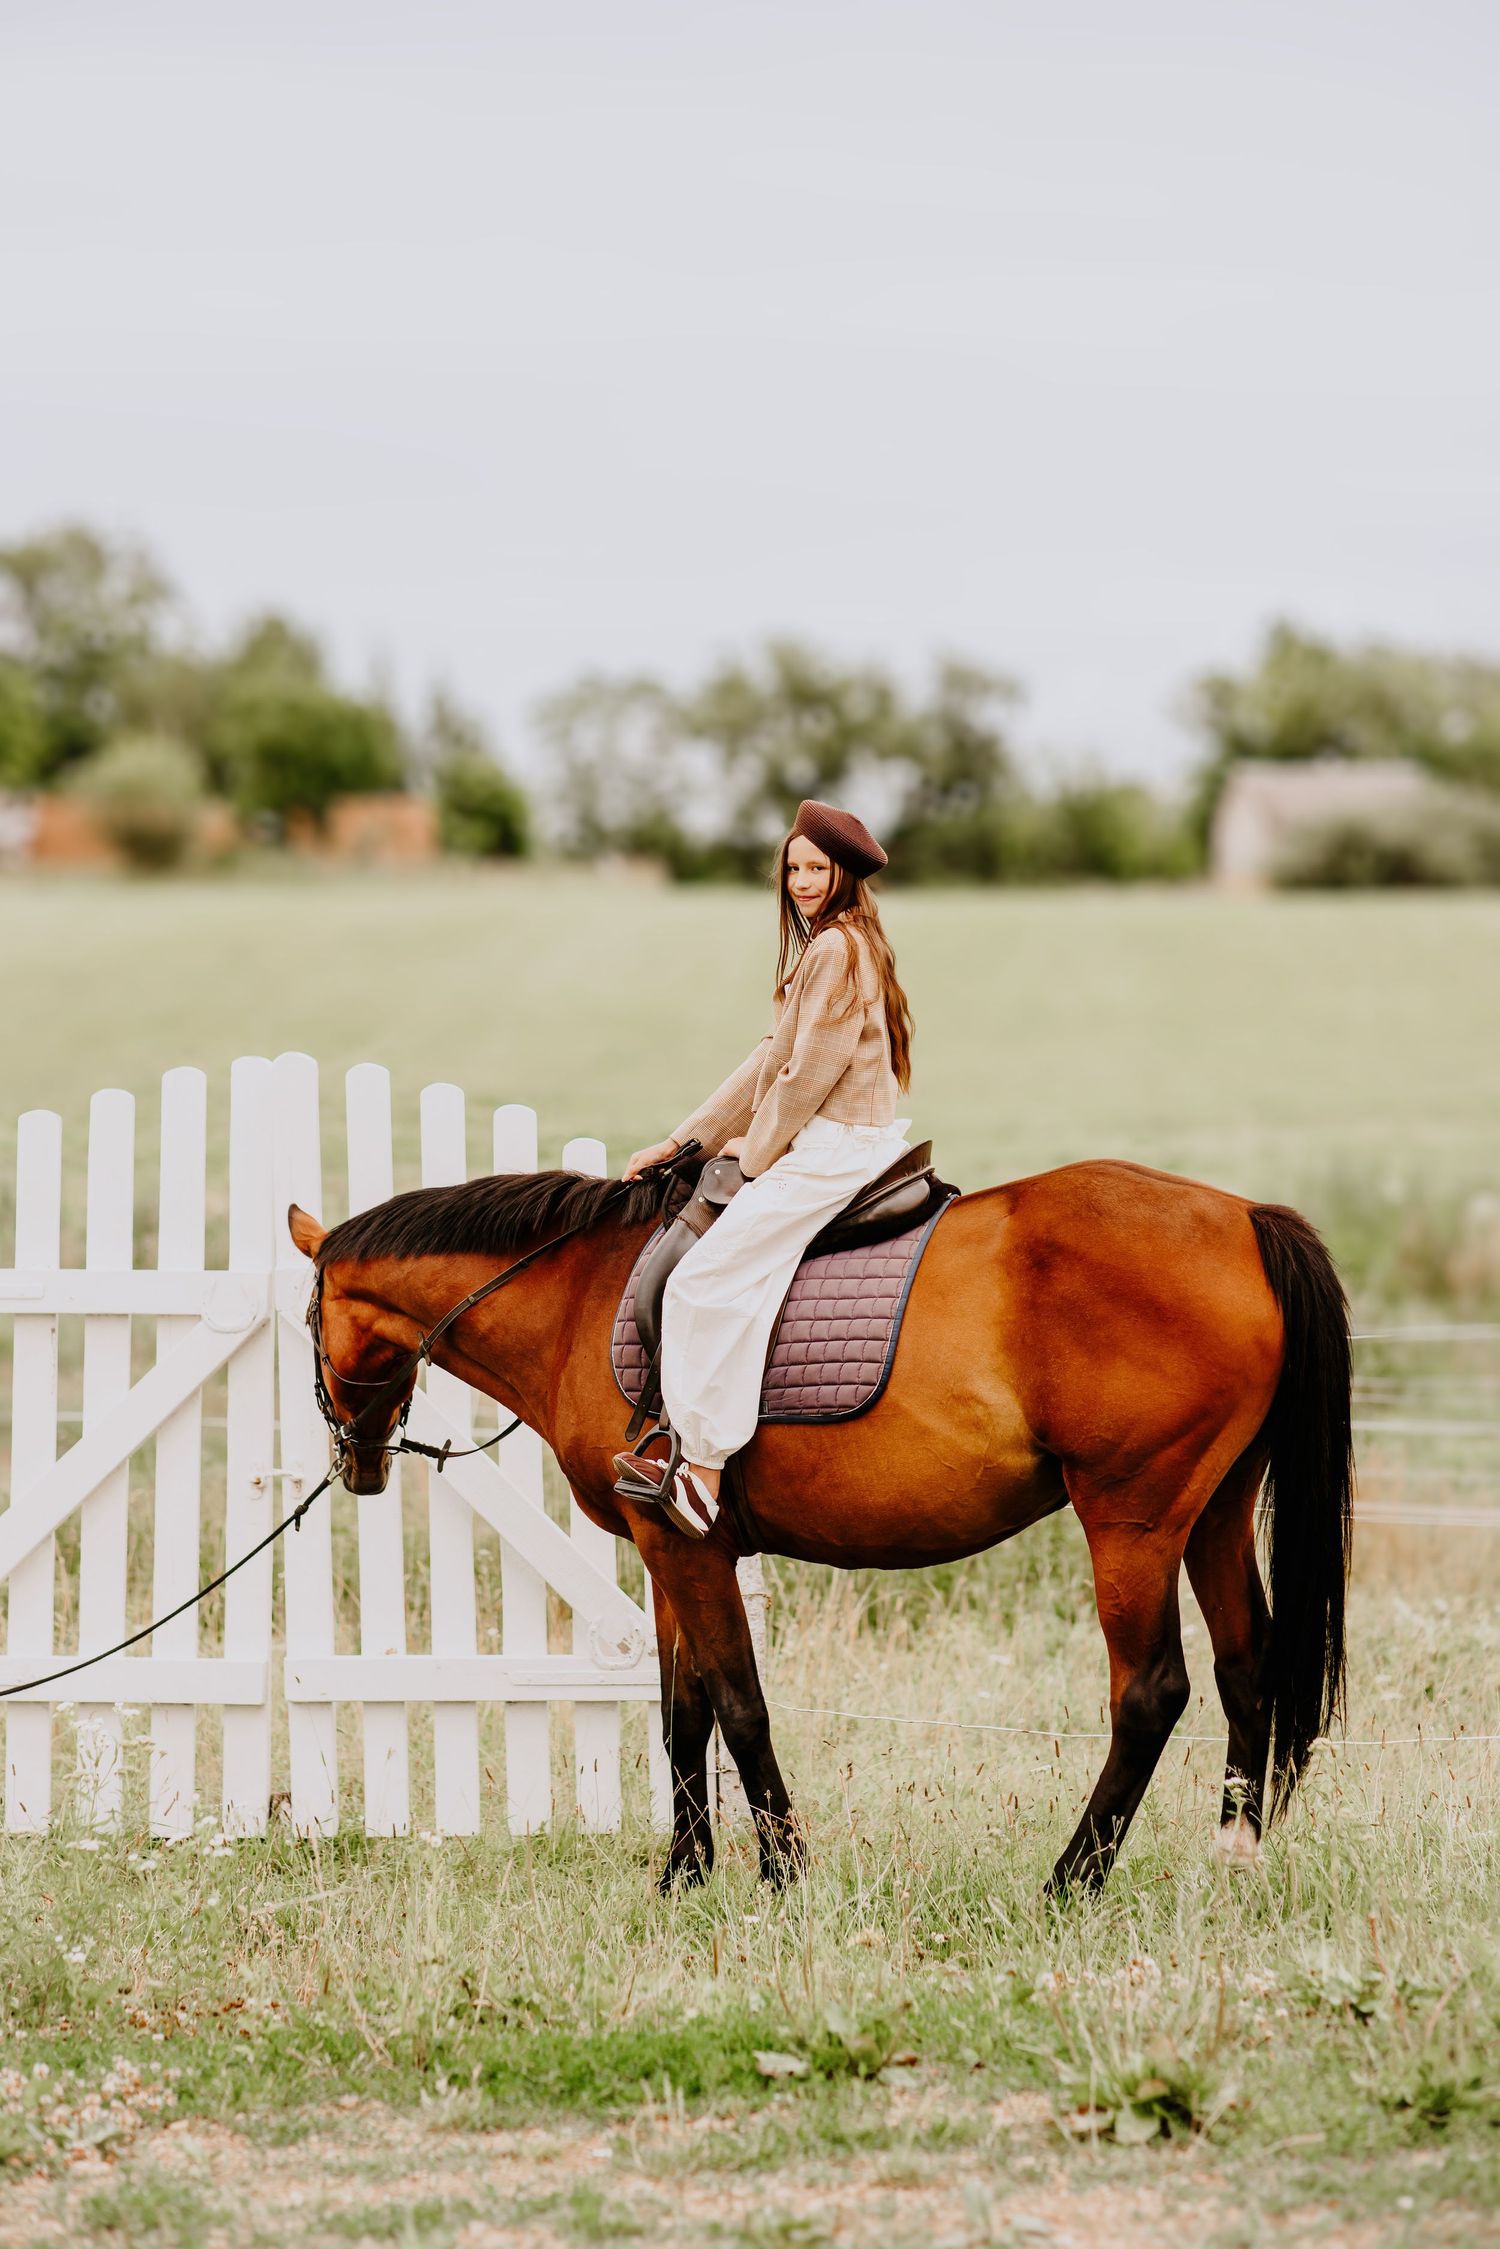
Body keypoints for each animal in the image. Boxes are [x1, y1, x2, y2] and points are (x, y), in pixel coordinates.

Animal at [287, 1156, 1352, 1893]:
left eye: (308, 1325)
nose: (357, 1460)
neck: (582, 1298)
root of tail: (1243, 1217)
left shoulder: (685, 1548)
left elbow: (740, 1703)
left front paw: (782, 1867)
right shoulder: (674, 1550)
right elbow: (684, 1712)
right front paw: (685, 1873)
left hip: (1130, 1521)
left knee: (1151, 1691)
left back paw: (1071, 1879)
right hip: (1211, 1513)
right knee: (1245, 1666)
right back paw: (1233, 1854)